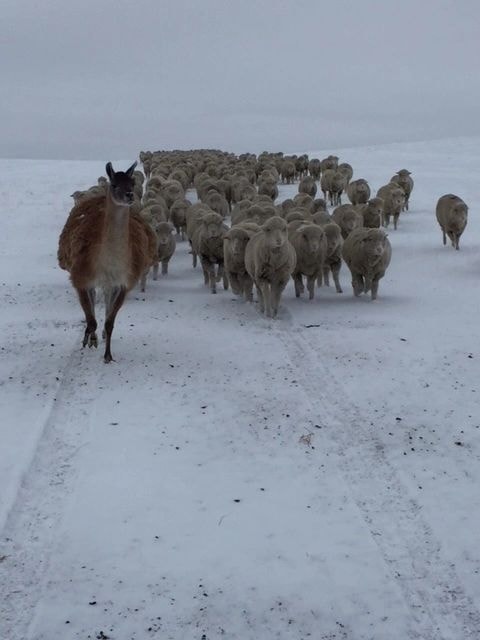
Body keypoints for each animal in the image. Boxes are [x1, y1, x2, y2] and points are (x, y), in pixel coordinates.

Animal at [58, 162, 157, 362]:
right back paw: (91, 337)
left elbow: (110, 322)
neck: (109, 262)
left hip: (109, 284)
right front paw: (88, 341)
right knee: (93, 307)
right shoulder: (81, 278)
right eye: (114, 184)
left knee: (104, 306)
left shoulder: (123, 282)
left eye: (132, 182)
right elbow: (91, 320)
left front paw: (108, 356)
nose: (129, 195)